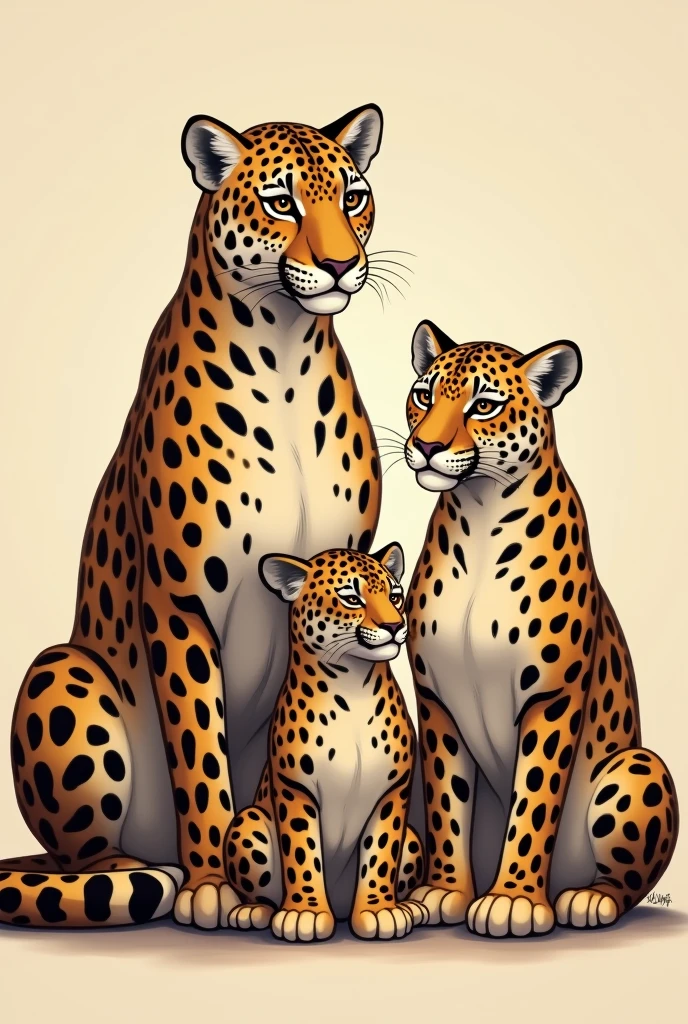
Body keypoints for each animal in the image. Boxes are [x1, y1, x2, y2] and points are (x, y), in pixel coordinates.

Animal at [0, 105, 387, 929]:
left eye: (354, 197)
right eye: (281, 202)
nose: (343, 266)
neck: (286, 351)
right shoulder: (180, 600)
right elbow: (201, 750)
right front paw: (216, 885)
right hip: (59, 668)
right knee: (93, 858)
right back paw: (146, 875)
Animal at [224, 544, 428, 941]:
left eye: (395, 596)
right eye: (351, 598)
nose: (395, 626)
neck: (353, 683)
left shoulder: (393, 789)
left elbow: (381, 855)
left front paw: (379, 910)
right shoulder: (295, 788)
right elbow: (303, 853)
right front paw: (304, 912)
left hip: (413, 838)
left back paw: (410, 906)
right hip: (248, 822)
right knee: (262, 891)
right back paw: (252, 912)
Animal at [399, 319, 679, 937]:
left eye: (484, 405)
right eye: (424, 396)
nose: (426, 446)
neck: (478, 514)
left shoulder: (551, 696)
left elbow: (532, 804)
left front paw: (514, 900)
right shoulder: (436, 699)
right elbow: (447, 803)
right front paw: (445, 891)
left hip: (637, 765)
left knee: (628, 882)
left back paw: (586, 899)